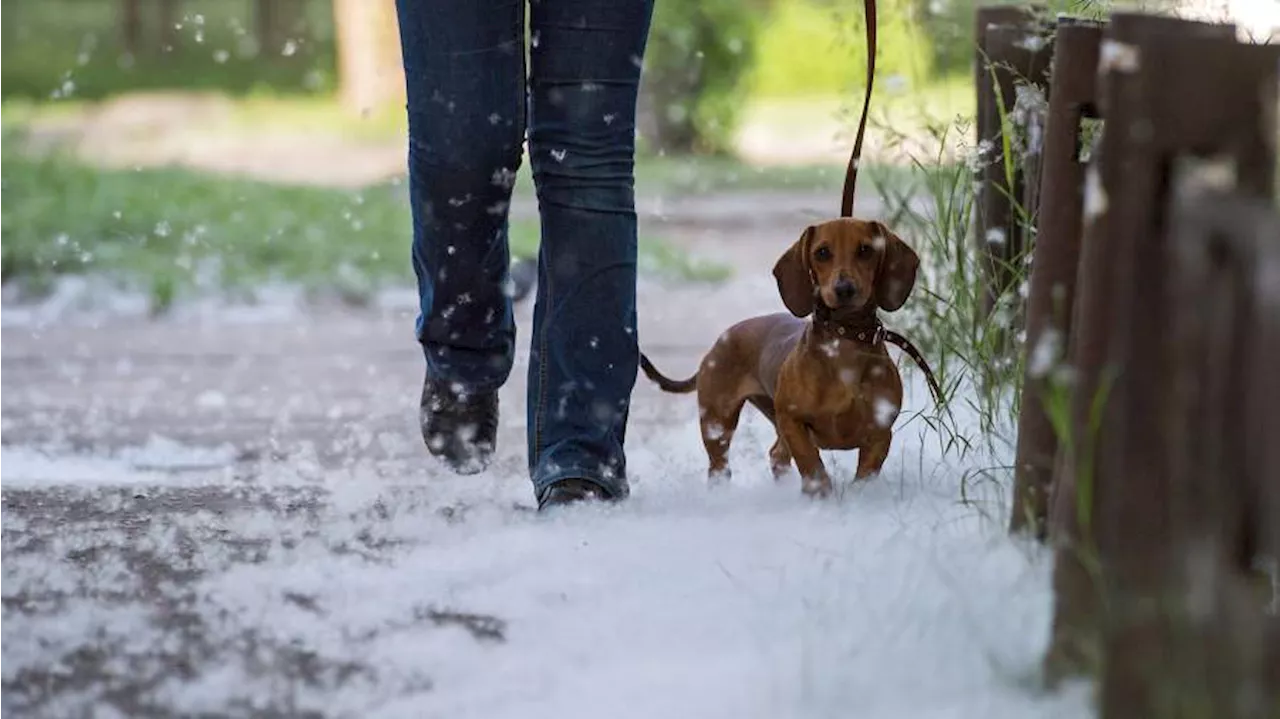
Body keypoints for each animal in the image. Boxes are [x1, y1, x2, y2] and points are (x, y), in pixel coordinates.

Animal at [640, 218, 921, 496]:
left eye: (865, 250)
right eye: (822, 253)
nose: (844, 289)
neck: (844, 342)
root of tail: (721, 339)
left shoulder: (881, 432)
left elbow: (864, 476)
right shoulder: (793, 421)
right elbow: (812, 465)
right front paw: (820, 493)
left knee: (776, 455)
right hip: (717, 422)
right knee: (720, 467)